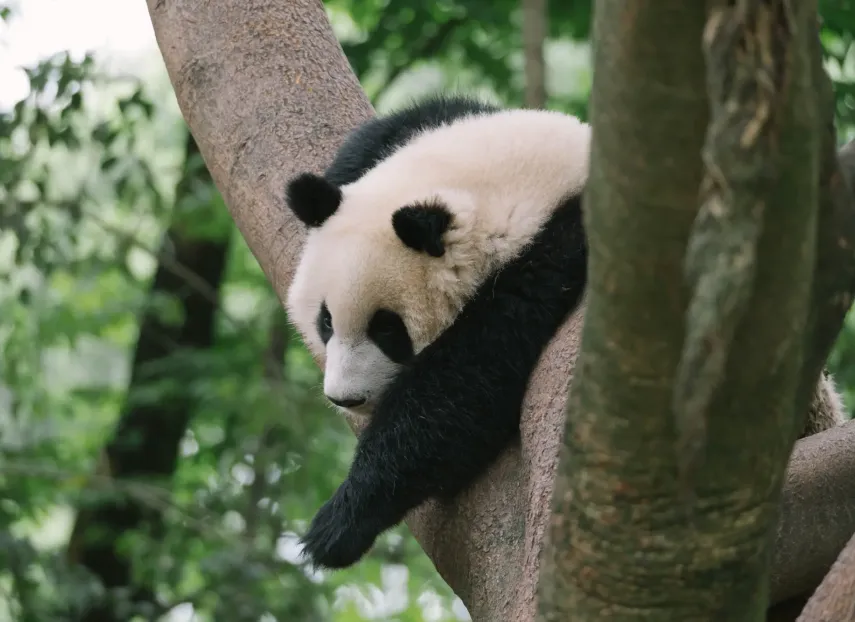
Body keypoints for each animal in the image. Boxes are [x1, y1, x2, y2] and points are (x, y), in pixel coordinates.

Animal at [282, 94, 848, 572]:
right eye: (326, 320)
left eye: (388, 330)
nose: (345, 397)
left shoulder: (555, 262)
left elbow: (460, 390)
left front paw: (339, 523)